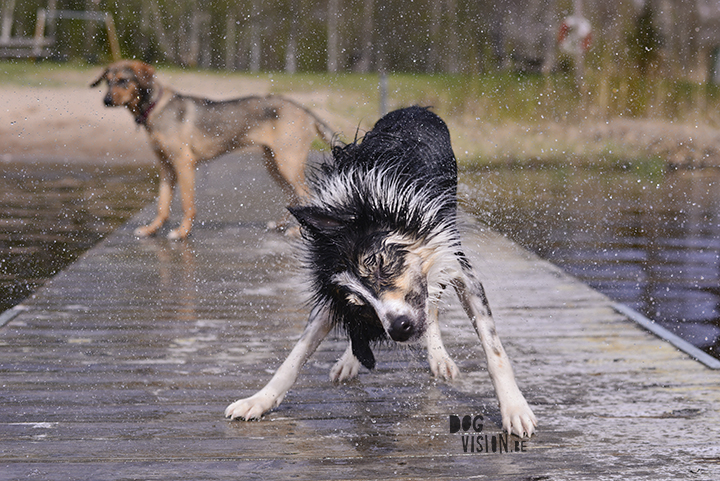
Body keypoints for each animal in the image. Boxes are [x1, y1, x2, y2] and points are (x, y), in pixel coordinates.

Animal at [91, 60, 336, 240]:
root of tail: (304, 110)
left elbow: (187, 203)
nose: (105, 101)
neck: (155, 107)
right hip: (273, 164)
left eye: (123, 80)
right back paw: (280, 225)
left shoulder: (183, 162)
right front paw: (151, 229)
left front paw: (182, 233)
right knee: (293, 196)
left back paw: (296, 230)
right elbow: (163, 204)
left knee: (305, 195)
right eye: (108, 81)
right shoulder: (165, 166)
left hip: (288, 162)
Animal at [225, 107, 536, 436]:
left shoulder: (453, 261)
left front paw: (514, 408)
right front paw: (259, 400)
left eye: (378, 263)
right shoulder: (333, 296)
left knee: (433, 305)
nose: (399, 328)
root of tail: (415, 108)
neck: (370, 201)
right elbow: (296, 354)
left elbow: (494, 350)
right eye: (359, 305)